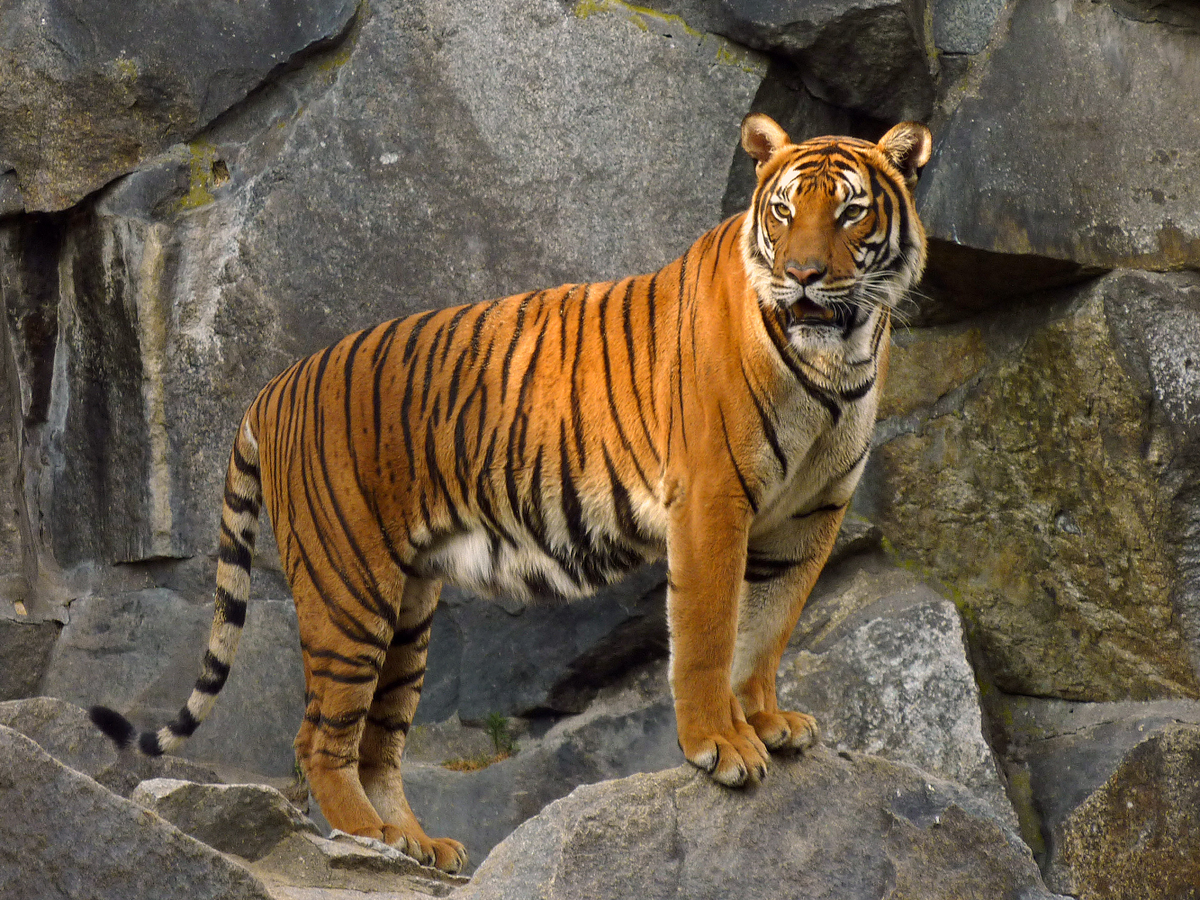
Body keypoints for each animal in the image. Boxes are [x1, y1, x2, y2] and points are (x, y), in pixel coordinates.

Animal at [93, 112, 931, 873]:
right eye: (784, 212)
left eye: (850, 212)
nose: (803, 275)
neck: (838, 357)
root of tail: (272, 388)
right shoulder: (712, 501)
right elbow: (708, 635)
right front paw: (720, 746)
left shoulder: (809, 516)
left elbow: (766, 630)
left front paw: (765, 721)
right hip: (348, 588)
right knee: (320, 737)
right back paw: (371, 837)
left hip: (408, 609)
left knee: (376, 743)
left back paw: (417, 842)